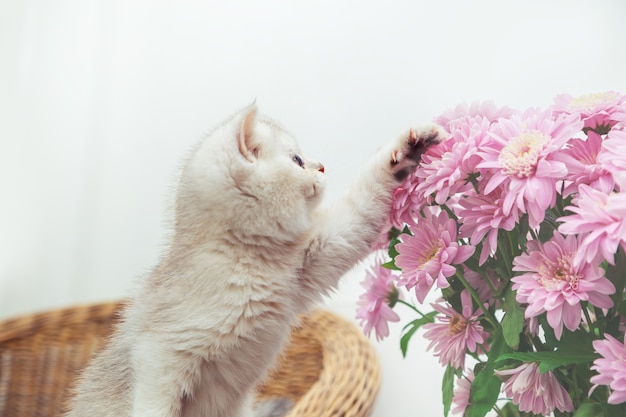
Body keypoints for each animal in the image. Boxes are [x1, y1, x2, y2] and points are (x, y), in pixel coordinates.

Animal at [63, 101, 438, 416]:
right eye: (297, 160)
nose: (322, 166)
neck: (249, 258)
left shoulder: (317, 254)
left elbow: (360, 207)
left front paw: (408, 147)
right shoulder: (159, 355)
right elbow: (154, 407)